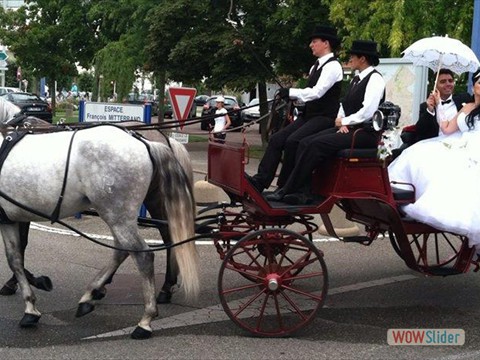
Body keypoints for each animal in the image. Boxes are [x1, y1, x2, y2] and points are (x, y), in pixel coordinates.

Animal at [0, 99, 199, 340]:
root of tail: (146, 142)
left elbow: (17, 257)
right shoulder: (10, 218)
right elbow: (16, 259)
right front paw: (31, 303)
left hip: (120, 214)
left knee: (143, 255)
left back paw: (146, 318)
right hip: (118, 214)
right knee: (126, 249)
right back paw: (92, 294)